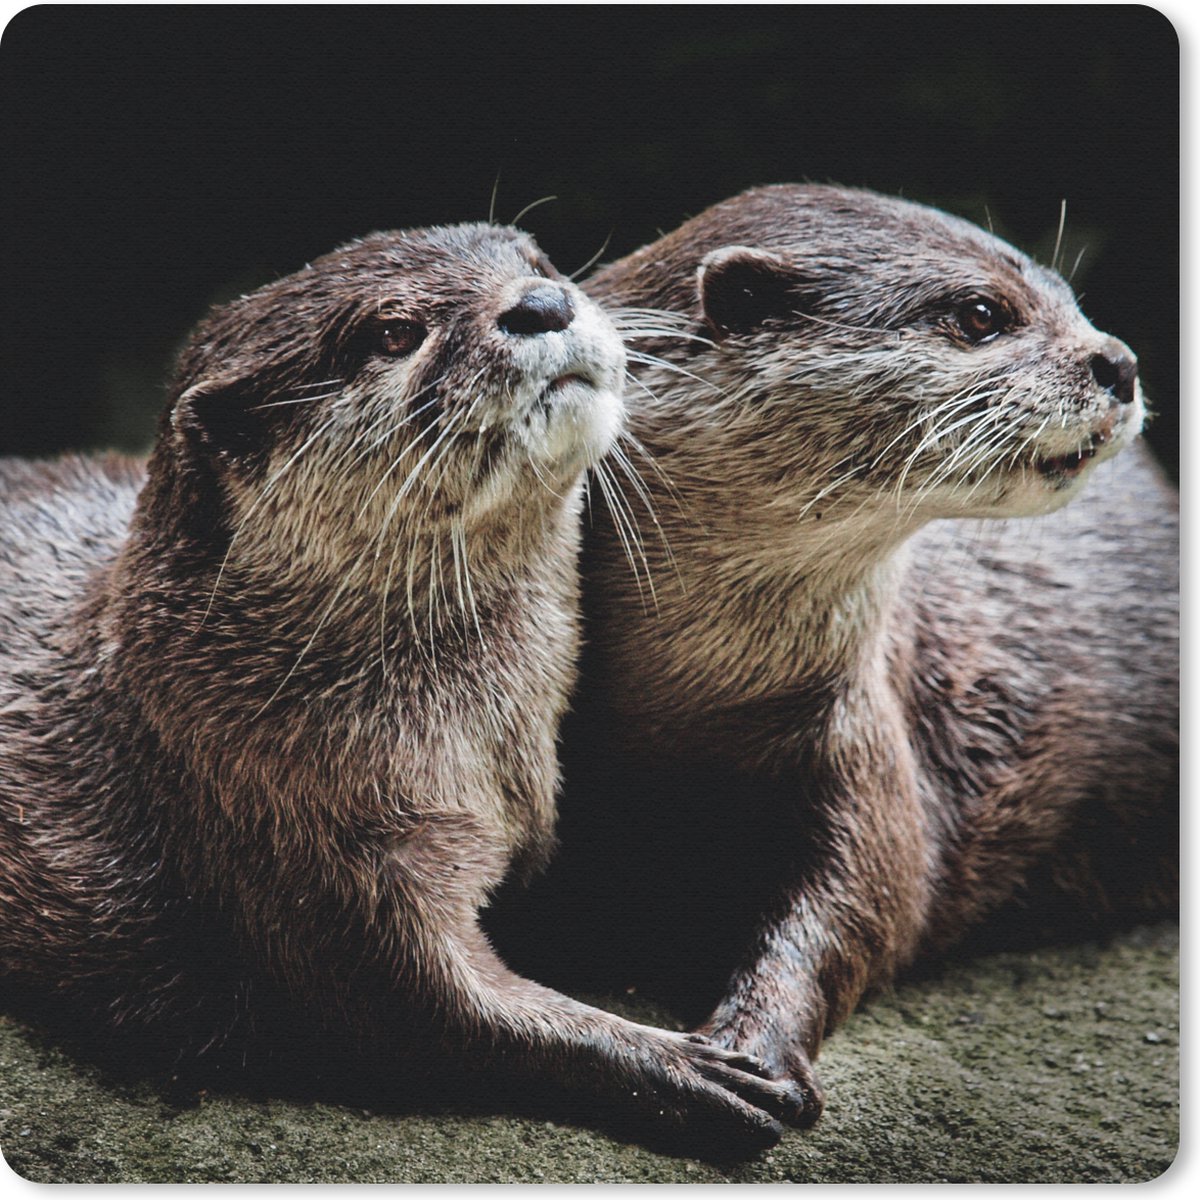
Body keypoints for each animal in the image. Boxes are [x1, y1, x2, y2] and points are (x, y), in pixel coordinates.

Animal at [0, 223, 806, 1153]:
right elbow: (423, 1009)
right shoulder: (294, 835)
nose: (543, 303)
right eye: (391, 333)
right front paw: (687, 1065)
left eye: (538, 263)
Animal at [492, 186, 1178, 1124]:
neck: (693, 698)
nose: (1121, 362)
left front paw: (756, 1046)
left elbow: (865, 902)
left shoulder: (864, 736)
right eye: (981, 315)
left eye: (1072, 300)